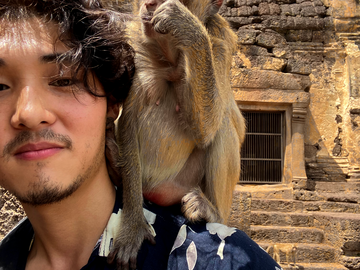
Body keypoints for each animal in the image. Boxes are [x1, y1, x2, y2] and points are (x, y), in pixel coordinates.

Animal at [108, 0, 246, 266]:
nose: (150, 3)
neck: (170, 57)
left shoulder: (219, 45)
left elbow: (207, 128)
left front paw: (187, 26)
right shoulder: (132, 46)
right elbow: (127, 123)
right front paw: (133, 225)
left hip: (181, 184)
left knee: (222, 125)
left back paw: (213, 212)